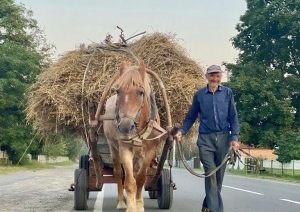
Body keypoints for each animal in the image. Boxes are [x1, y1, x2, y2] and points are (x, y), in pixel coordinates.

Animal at [103, 61, 168, 212]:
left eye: (141, 92)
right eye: (118, 91)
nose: (125, 127)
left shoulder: (150, 151)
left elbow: (140, 179)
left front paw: (138, 204)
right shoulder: (124, 149)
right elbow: (129, 181)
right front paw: (131, 207)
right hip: (113, 147)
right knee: (118, 173)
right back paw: (122, 202)